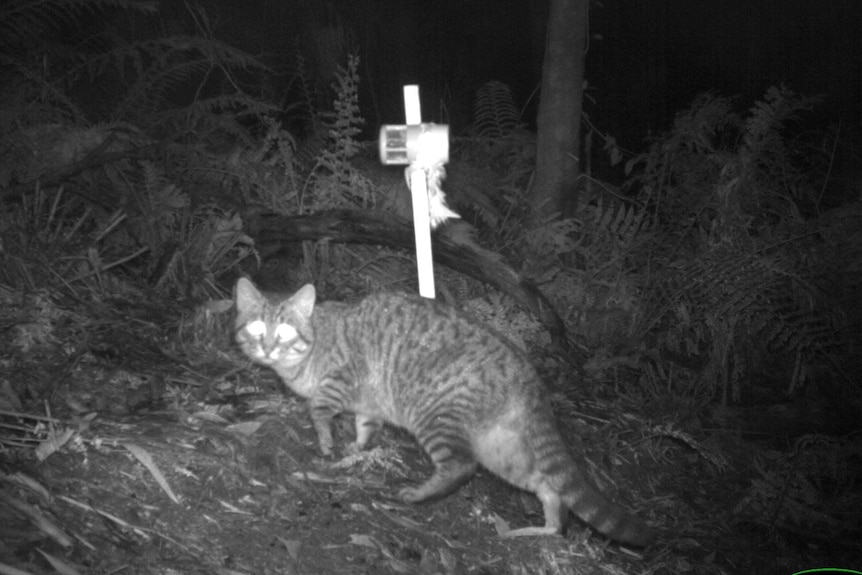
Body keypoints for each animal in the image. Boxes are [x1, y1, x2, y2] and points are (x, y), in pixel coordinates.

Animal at [236, 280, 656, 548]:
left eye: (284, 330)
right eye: (256, 326)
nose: (268, 348)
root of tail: (525, 369)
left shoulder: (344, 377)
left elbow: (319, 407)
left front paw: (325, 439)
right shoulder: (369, 402)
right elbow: (367, 427)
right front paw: (359, 447)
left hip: (435, 415)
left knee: (461, 466)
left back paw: (421, 494)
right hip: (502, 448)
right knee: (548, 485)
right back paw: (548, 526)